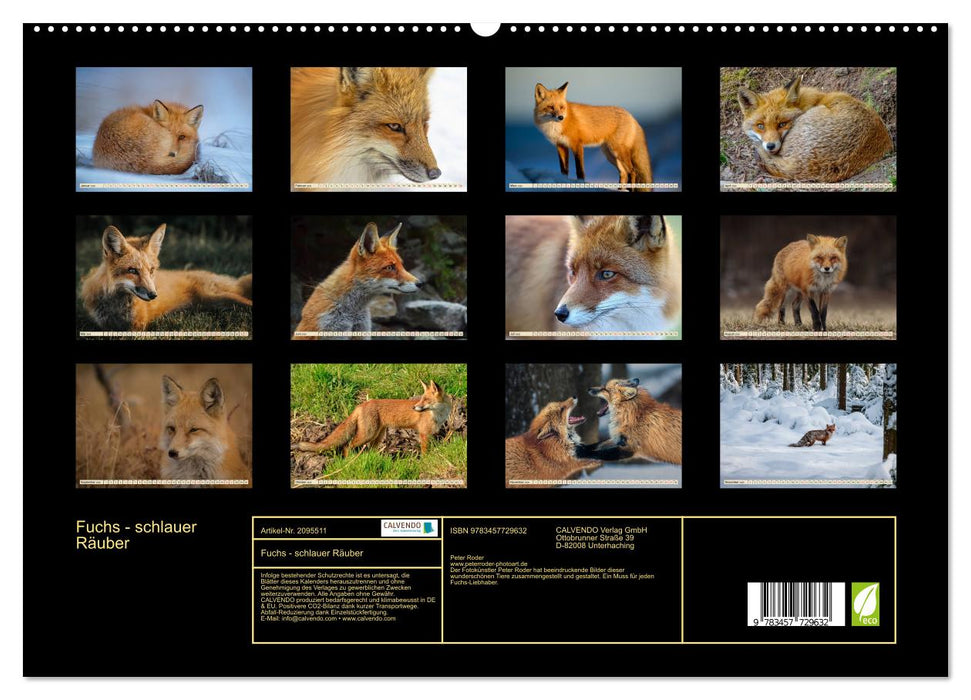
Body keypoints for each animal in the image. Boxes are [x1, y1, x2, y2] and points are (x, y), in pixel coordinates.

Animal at [80, 224, 253, 332]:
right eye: (132, 270)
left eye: (151, 270)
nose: (153, 295)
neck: (116, 306)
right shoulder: (102, 325)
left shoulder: (138, 325)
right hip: (214, 303)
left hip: (219, 297)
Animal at [294, 380, 450, 457]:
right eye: (421, 399)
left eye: (426, 400)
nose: (414, 407)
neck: (438, 414)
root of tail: (362, 404)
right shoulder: (423, 434)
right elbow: (425, 452)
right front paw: (424, 461)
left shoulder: (430, 434)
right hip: (367, 434)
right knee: (346, 446)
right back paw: (349, 461)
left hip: (377, 436)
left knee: (369, 450)